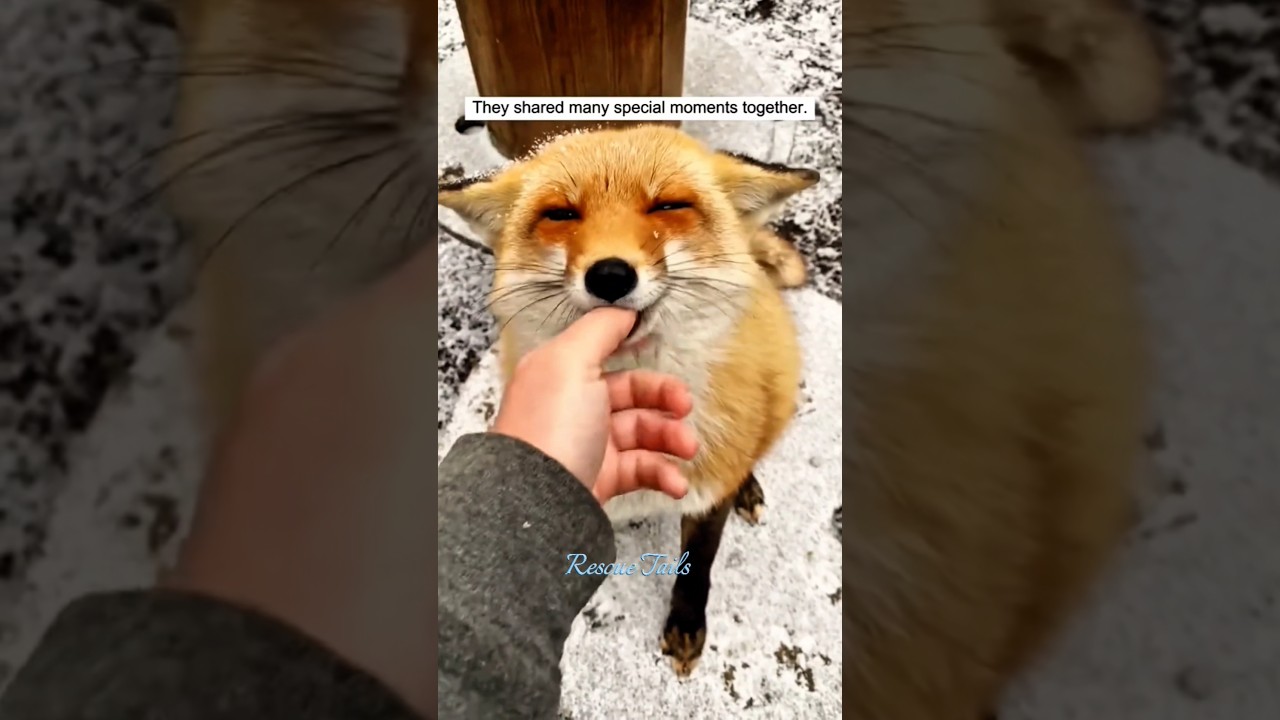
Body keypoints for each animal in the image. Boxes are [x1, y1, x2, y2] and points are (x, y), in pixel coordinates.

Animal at [438, 126, 818, 676]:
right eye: (561, 214)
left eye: (668, 205)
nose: (610, 275)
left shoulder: (707, 495)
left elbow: (697, 566)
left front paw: (686, 625)